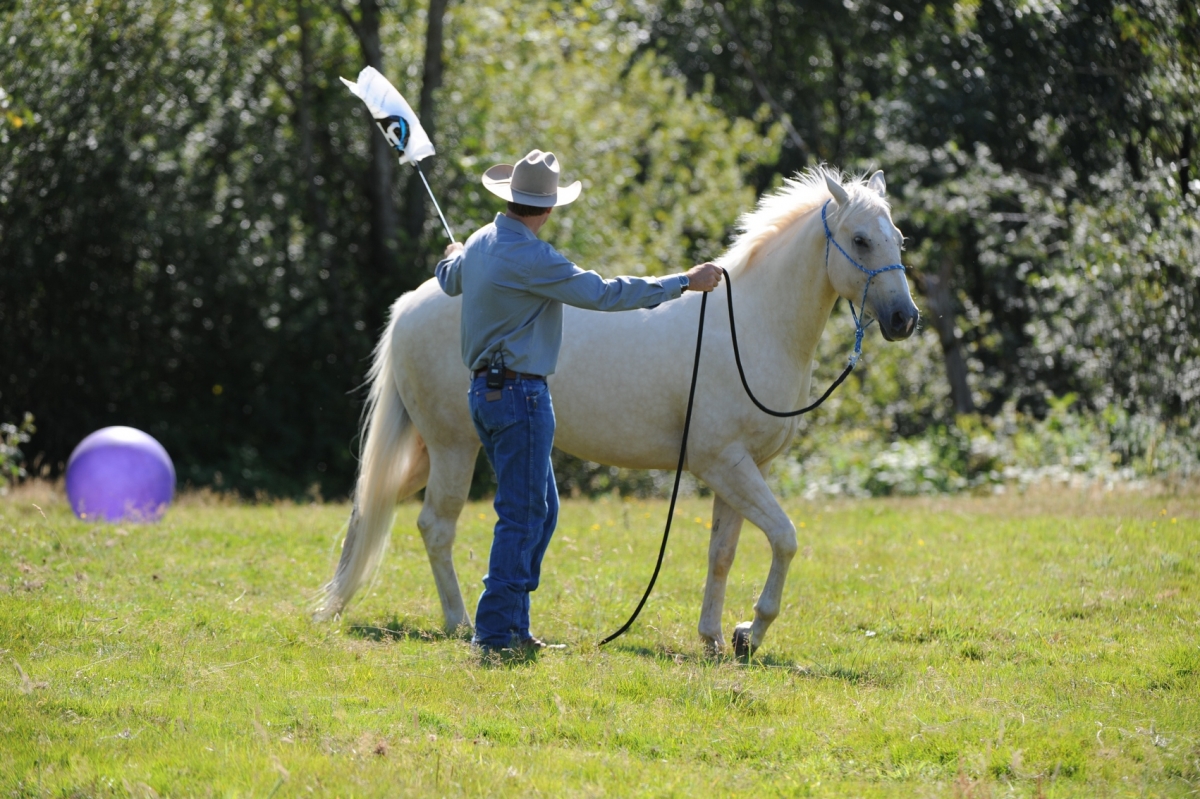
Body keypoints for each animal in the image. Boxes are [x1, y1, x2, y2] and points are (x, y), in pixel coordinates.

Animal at [313, 166, 919, 655]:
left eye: (898, 238)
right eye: (860, 239)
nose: (904, 319)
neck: (749, 326)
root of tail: (410, 304)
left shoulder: (744, 470)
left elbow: (722, 554)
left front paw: (717, 638)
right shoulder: (723, 464)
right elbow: (786, 538)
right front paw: (752, 631)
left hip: (431, 450)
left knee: (384, 509)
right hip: (453, 447)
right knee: (436, 527)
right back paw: (461, 623)